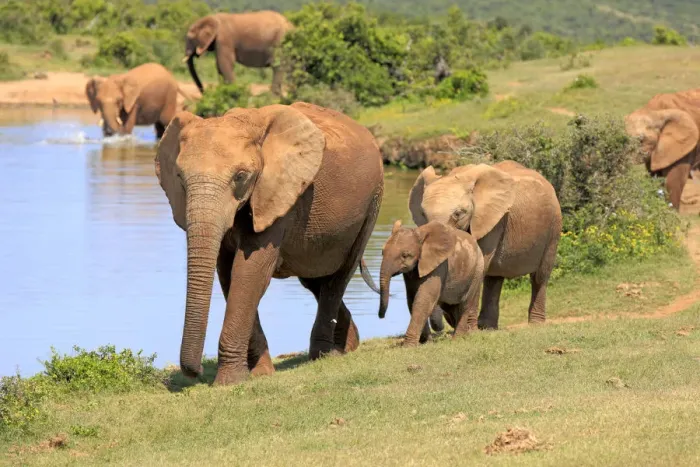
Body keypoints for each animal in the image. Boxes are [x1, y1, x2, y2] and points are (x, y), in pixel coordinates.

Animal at [155, 102, 384, 385]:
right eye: (179, 177)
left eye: (240, 176)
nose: (194, 372)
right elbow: (228, 273)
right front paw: (260, 373)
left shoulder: (279, 192)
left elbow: (248, 273)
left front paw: (229, 382)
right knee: (314, 281)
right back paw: (347, 346)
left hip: (372, 204)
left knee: (337, 279)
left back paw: (322, 356)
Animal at [409, 161, 562, 329]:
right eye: (423, 214)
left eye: (458, 214)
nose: (450, 320)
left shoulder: (493, 221)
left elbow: (479, 265)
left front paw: (468, 328)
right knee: (494, 279)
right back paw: (487, 327)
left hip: (553, 227)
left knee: (540, 276)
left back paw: (536, 324)